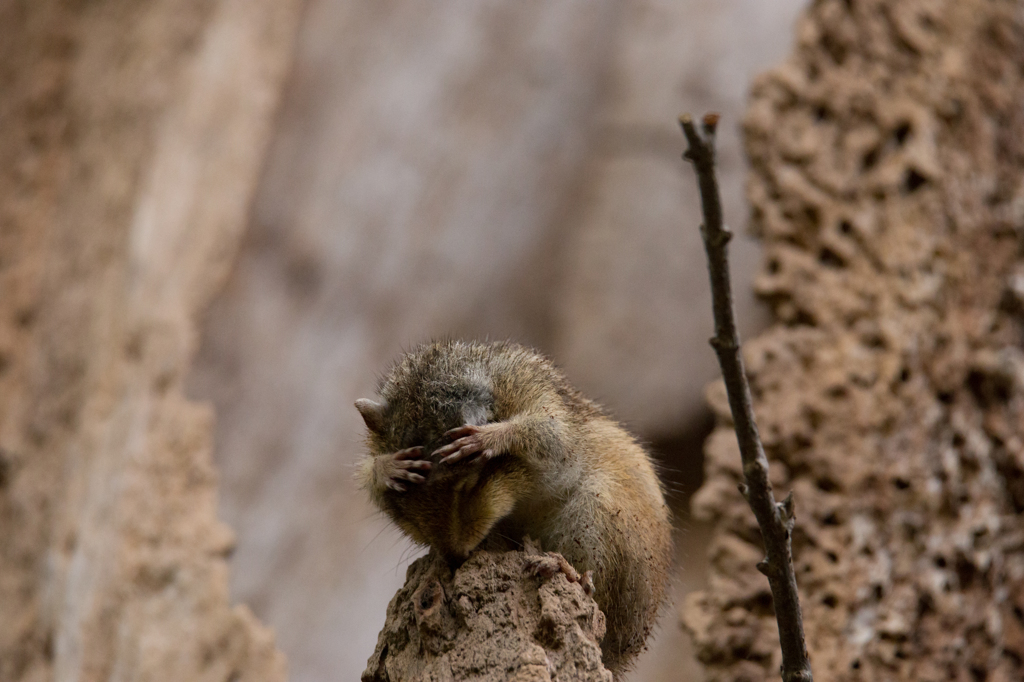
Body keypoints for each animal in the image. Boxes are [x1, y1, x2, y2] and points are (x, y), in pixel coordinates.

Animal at [356, 339, 675, 667]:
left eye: (470, 485)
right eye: (399, 507)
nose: (455, 558)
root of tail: (622, 652)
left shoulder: (540, 399)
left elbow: (548, 434)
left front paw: (488, 438)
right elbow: (368, 475)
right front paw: (389, 467)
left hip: (599, 517)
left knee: (592, 587)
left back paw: (563, 568)